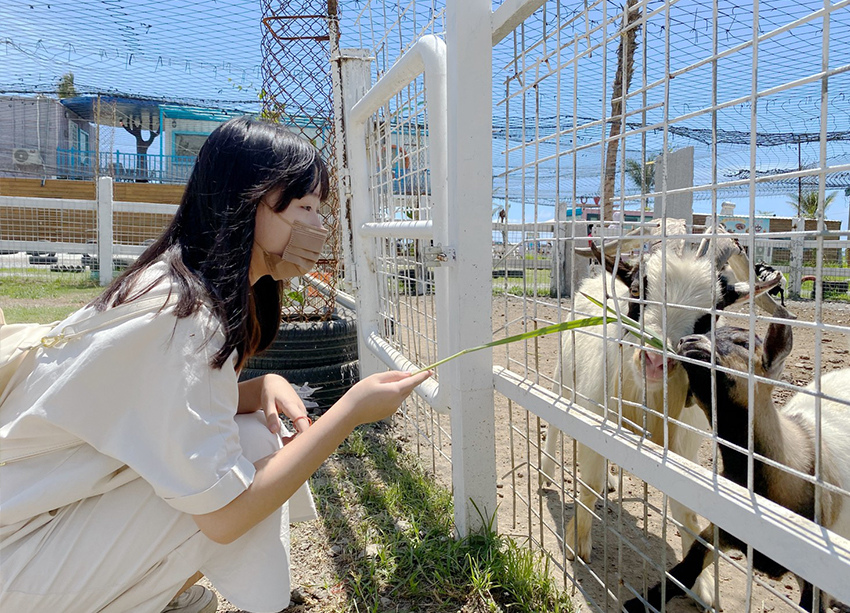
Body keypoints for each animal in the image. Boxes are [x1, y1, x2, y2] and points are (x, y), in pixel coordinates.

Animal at [536, 220, 780, 608]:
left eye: (711, 314)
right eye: (639, 290)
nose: (654, 360)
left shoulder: (683, 444)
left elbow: (687, 510)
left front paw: (703, 586)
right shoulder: (594, 415)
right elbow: (588, 485)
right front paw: (577, 542)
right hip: (564, 370)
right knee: (557, 419)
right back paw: (546, 472)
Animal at [624, 316, 848, 612]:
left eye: (744, 343)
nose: (688, 341)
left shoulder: (814, 571)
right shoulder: (724, 526)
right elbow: (685, 570)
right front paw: (638, 602)